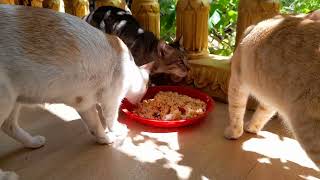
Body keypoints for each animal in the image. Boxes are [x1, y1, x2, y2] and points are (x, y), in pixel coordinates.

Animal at [0, 4, 150, 148]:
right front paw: (117, 131)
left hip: (14, 101)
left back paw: (33, 142)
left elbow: (95, 125)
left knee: (8, 126)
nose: (139, 103)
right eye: (145, 91)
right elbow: (111, 120)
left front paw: (104, 139)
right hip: (6, 101)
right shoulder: (111, 100)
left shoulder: (83, 103)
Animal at [225, 10, 320, 167]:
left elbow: (236, 112)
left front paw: (234, 133)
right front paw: (251, 128)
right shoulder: (271, 98)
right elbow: (261, 115)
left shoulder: (237, 83)